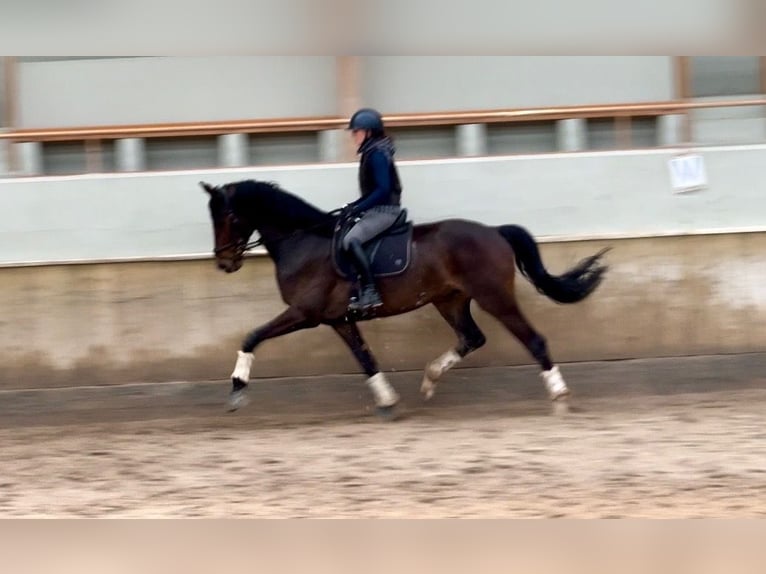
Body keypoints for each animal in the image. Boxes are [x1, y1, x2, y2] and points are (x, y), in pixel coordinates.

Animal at [201, 179, 608, 417]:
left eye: (229, 216)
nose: (224, 262)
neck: (303, 241)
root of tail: (493, 231)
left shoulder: (305, 312)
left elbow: (251, 336)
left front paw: (237, 387)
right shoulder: (338, 320)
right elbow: (366, 359)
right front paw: (387, 400)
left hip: (494, 297)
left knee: (532, 339)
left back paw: (559, 393)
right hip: (449, 300)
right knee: (471, 337)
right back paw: (430, 378)